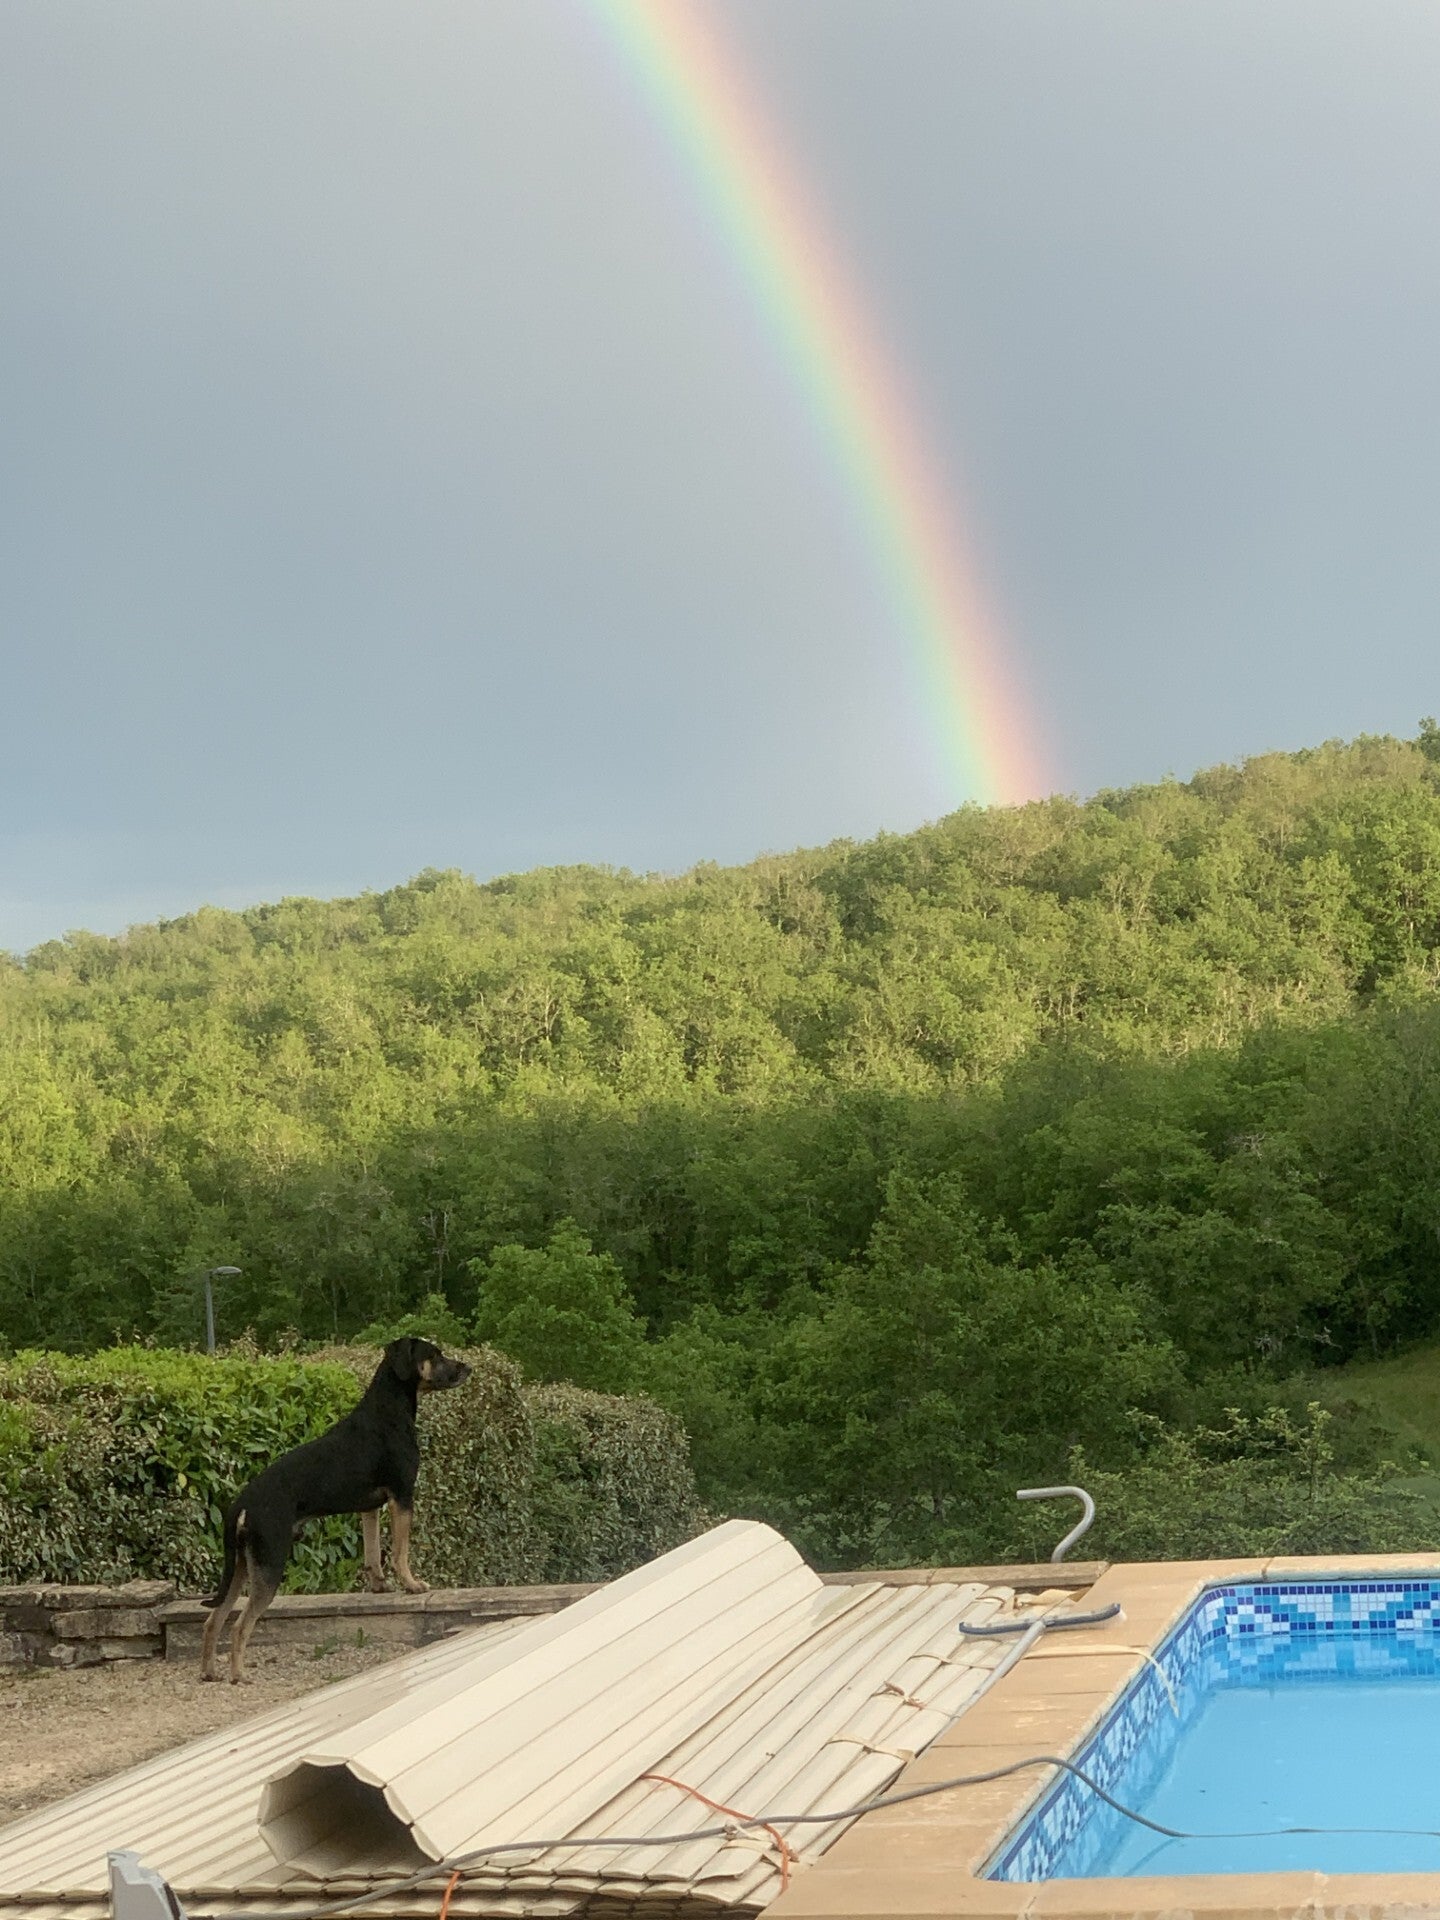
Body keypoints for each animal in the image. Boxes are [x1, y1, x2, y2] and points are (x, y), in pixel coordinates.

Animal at [200, 1336, 471, 1682]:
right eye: (434, 1355)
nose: (467, 1368)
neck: (387, 1411)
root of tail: (242, 1503)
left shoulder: (370, 1508)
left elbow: (373, 1553)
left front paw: (379, 1586)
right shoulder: (402, 1496)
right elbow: (400, 1551)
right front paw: (413, 1585)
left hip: (242, 1565)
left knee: (214, 1618)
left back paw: (210, 1673)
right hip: (270, 1562)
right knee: (239, 1625)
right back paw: (239, 1676)